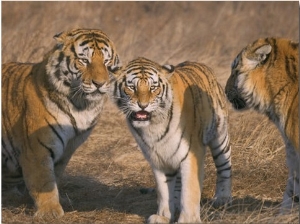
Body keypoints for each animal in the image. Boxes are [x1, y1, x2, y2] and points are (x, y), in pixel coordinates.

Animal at [1, 27, 120, 219]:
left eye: (106, 61)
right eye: (84, 60)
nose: (100, 83)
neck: (82, 105)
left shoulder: (67, 148)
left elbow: (54, 176)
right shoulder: (37, 148)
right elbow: (44, 180)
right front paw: (49, 211)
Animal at [112, 57, 232, 222]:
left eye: (153, 87)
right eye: (131, 87)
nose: (143, 106)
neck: (153, 126)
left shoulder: (192, 153)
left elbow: (190, 190)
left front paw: (188, 220)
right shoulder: (157, 158)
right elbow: (164, 191)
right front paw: (163, 217)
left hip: (220, 138)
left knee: (224, 168)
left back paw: (222, 198)